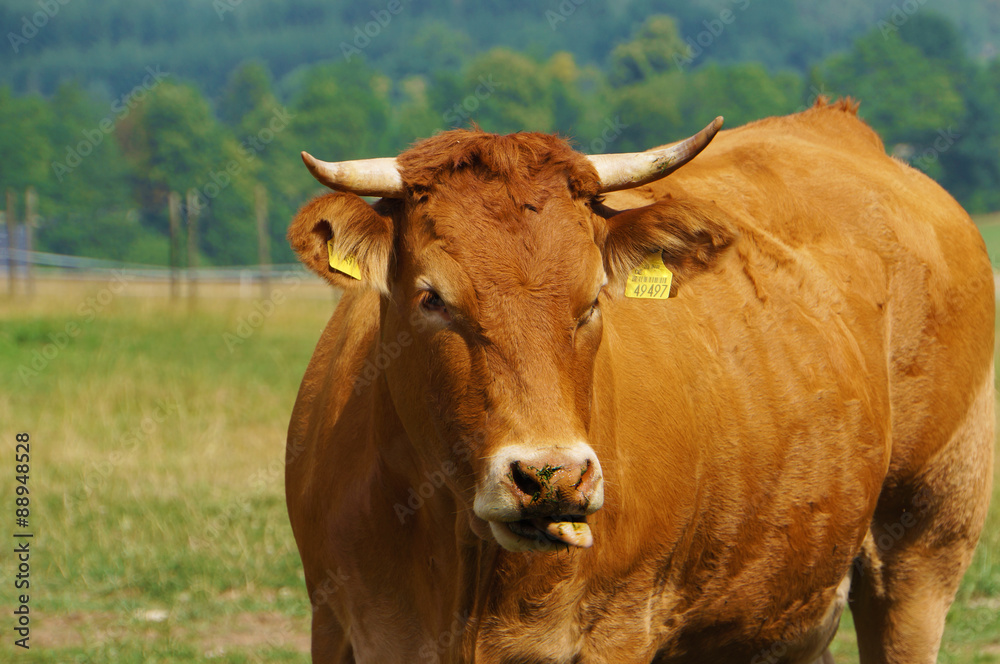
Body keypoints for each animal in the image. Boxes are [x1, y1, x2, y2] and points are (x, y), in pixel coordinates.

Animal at [286, 100, 996, 664]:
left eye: (592, 298)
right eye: (432, 297)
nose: (552, 477)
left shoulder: (617, 628)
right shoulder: (339, 622)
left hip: (924, 544)